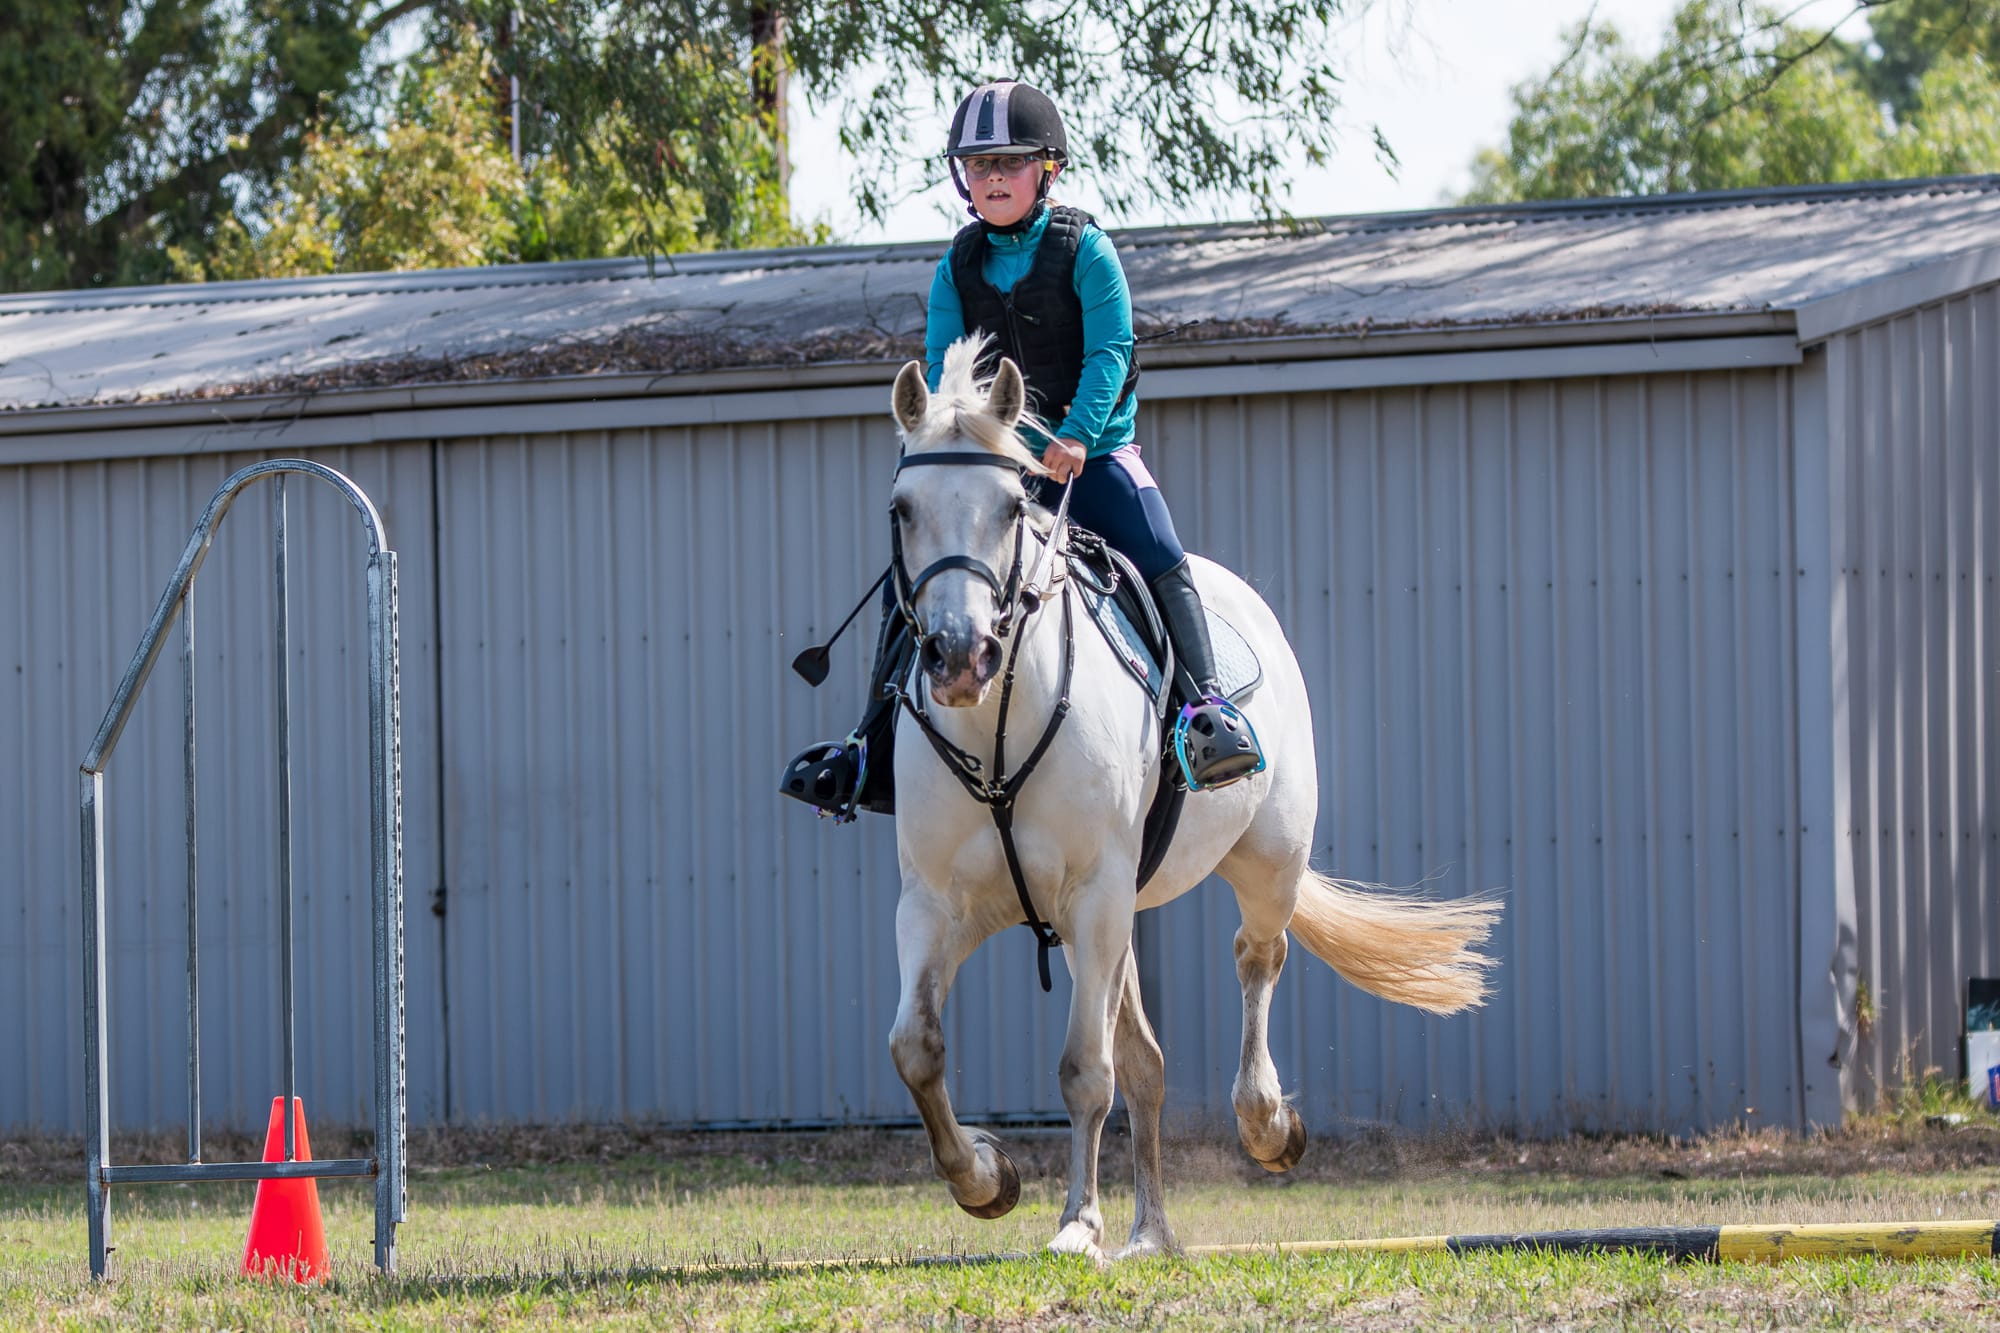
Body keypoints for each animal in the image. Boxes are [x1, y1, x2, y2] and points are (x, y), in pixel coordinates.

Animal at [882, 336, 1501, 1260]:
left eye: (1010, 506)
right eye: (902, 508)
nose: (961, 657)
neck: (998, 728)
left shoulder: (1096, 895)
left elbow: (1085, 1068)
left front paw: (1077, 1225)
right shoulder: (936, 904)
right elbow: (917, 1048)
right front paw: (987, 1179)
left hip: (1265, 861)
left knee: (1256, 957)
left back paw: (1266, 1126)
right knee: (1147, 1061)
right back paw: (1152, 1232)